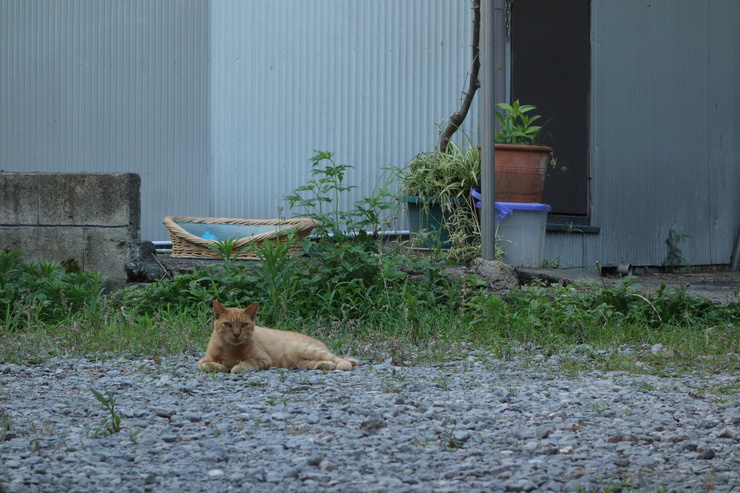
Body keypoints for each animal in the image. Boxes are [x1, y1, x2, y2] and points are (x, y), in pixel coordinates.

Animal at [197, 300, 358, 372]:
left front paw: (234, 367)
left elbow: (243, 365)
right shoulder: (203, 360)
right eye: (228, 325)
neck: (230, 349)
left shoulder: (264, 360)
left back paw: (343, 365)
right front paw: (221, 366)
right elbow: (207, 365)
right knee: (324, 362)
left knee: (340, 360)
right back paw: (323, 365)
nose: (236, 334)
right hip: (299, 362)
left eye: (244, 325)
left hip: (306, 349)